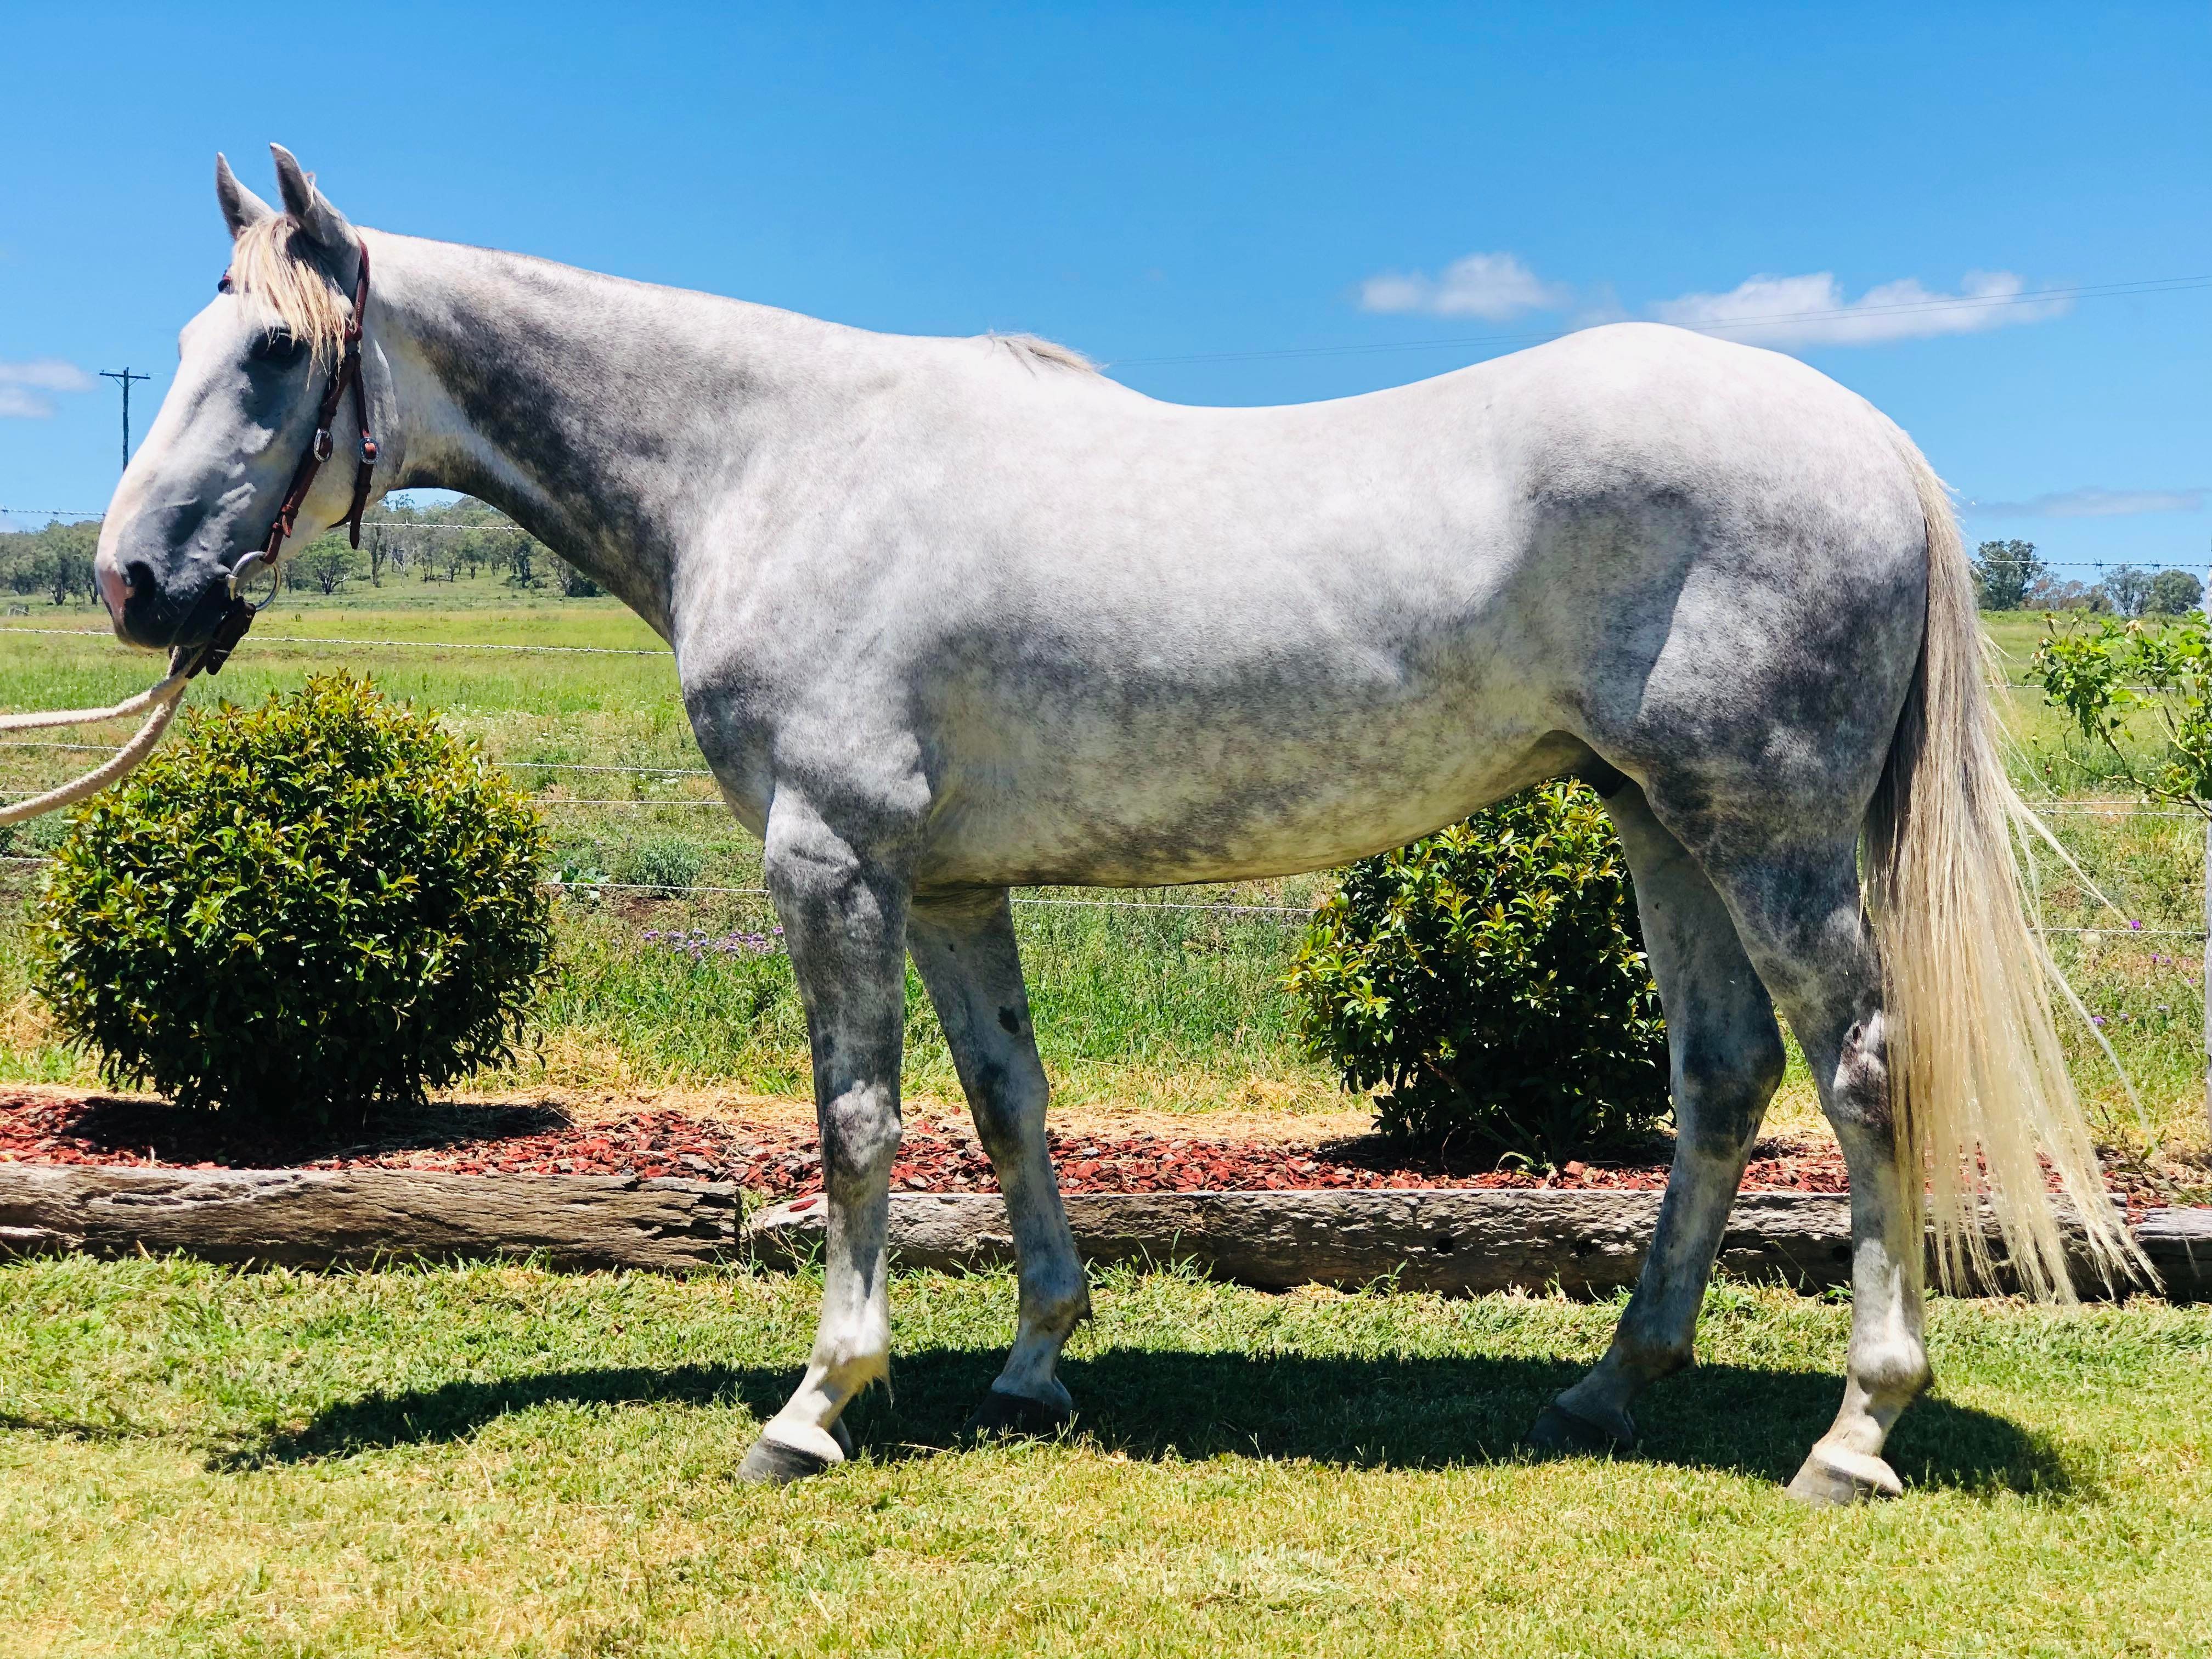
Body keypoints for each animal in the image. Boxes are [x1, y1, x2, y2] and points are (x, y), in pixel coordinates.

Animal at [91, 145, 2138, 1506]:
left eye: (271, 358)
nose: (128, 583)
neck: (774, 461)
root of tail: (1873, 444)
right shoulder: (949, 883)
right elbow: (1007, 1104)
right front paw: (1031, 1361)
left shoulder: (830, 860)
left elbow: (857, 1126)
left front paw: (817, 1403)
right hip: (1656, 824)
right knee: (1723, 1081)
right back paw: (1611, 1387)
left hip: (1764, 830)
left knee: (1861, 1069)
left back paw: (1855, 1431)